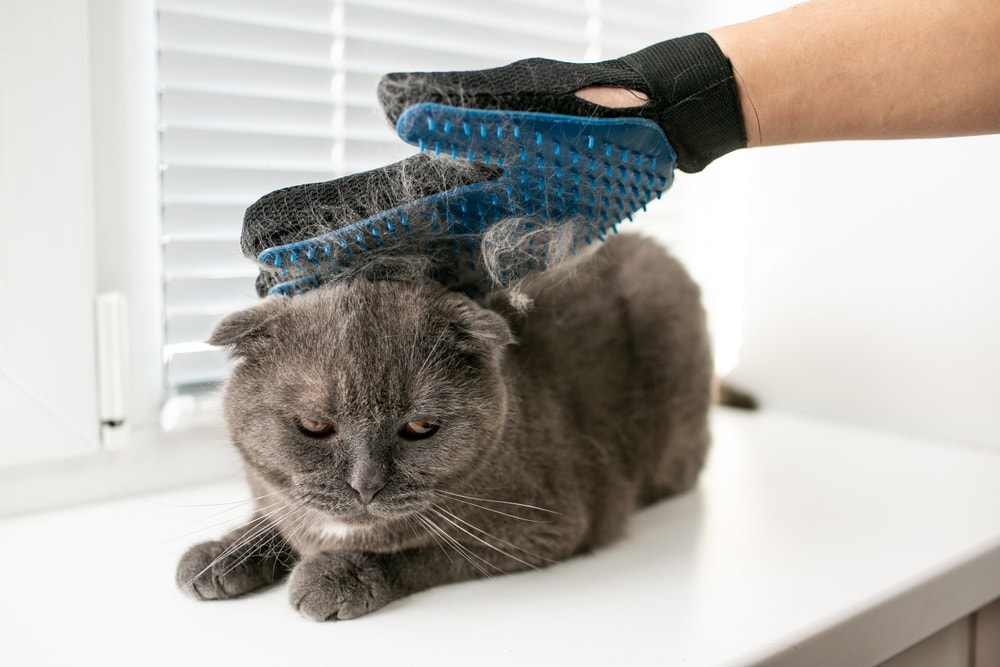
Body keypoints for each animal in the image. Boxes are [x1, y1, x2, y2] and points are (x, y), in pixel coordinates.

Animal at [176, 235, 716, 620]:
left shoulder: (548, 522)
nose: (365, 486)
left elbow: (426, 552)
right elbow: (272, 519)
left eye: (420, 426)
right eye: (314, 425)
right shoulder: (275, 492)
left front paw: (334, 575)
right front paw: (218, 556)